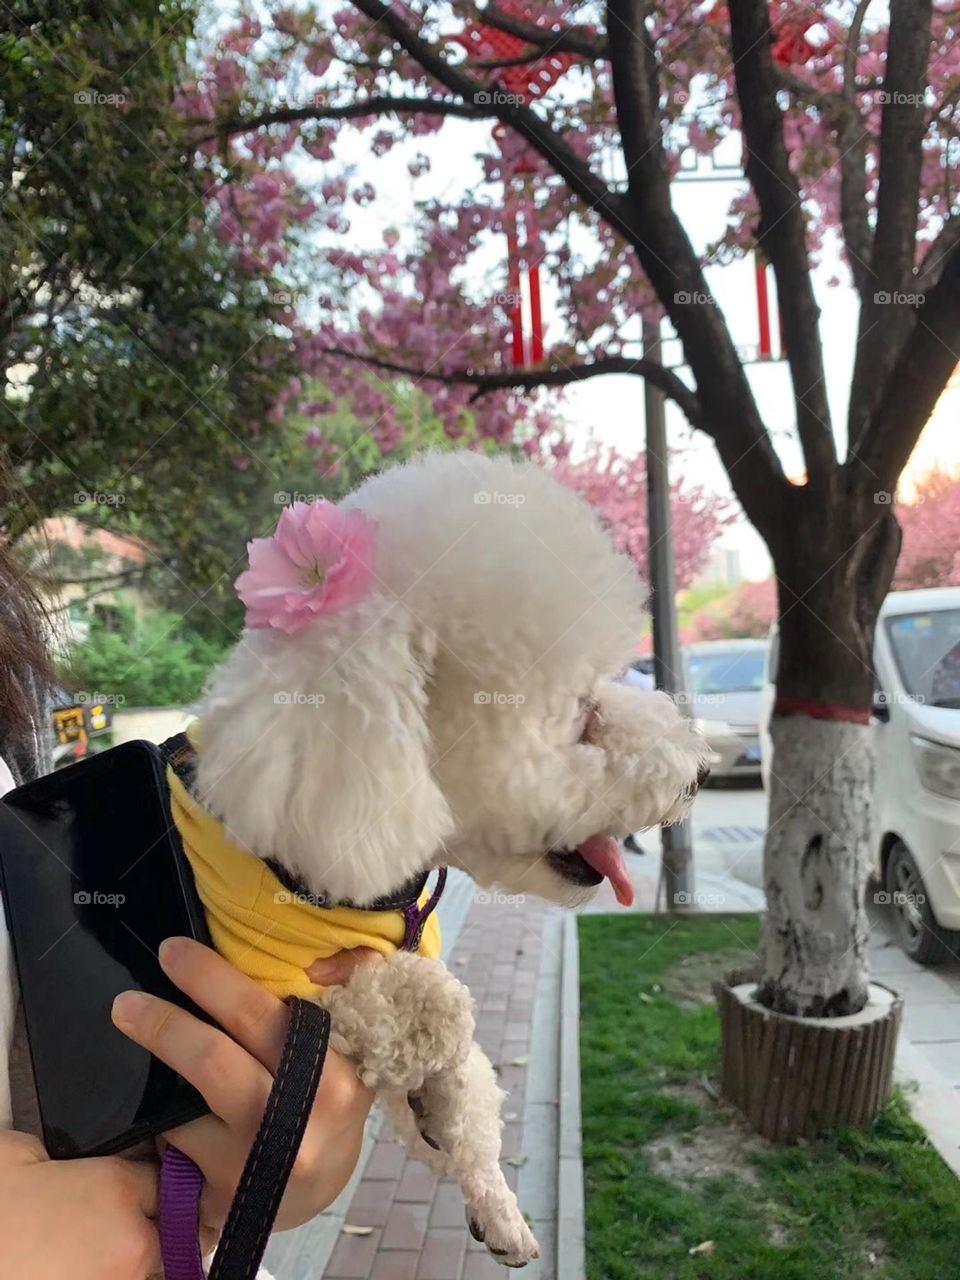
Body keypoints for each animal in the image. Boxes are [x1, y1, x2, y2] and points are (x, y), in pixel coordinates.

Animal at [188, 453, 706, 1269]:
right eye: (583, 711)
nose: (698, 774)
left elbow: (466, 1077)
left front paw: (477, 1173)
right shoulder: (280, 991)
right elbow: (436, 1003)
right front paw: (428, 1075)